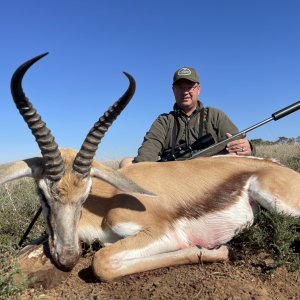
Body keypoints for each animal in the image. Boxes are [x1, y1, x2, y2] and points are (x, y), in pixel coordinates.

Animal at [0, 54, 300, 282]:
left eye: (85, 195)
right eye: (42, 194)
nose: (67, 257)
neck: (106, 204)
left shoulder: (161, 232)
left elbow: (102, 261)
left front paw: (217, 250)